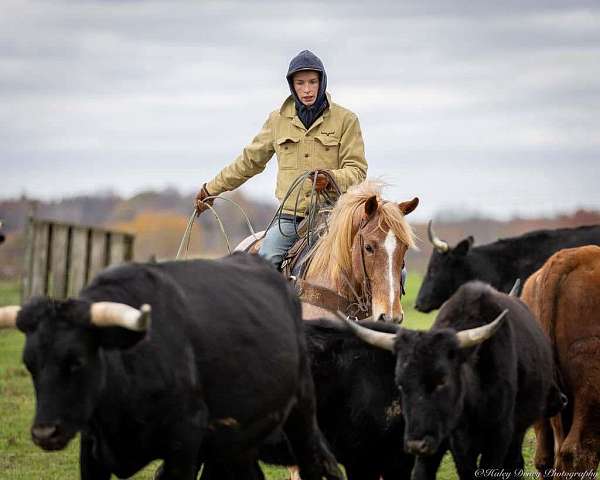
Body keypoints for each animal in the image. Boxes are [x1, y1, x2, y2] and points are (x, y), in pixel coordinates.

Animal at [0, 253, 344, 480]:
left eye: (77, 361)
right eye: (30, 365)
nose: (45, 433)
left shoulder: (184, 443)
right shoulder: (92, 451)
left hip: (301, 412)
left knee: (313, 464)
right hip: (240, 438)